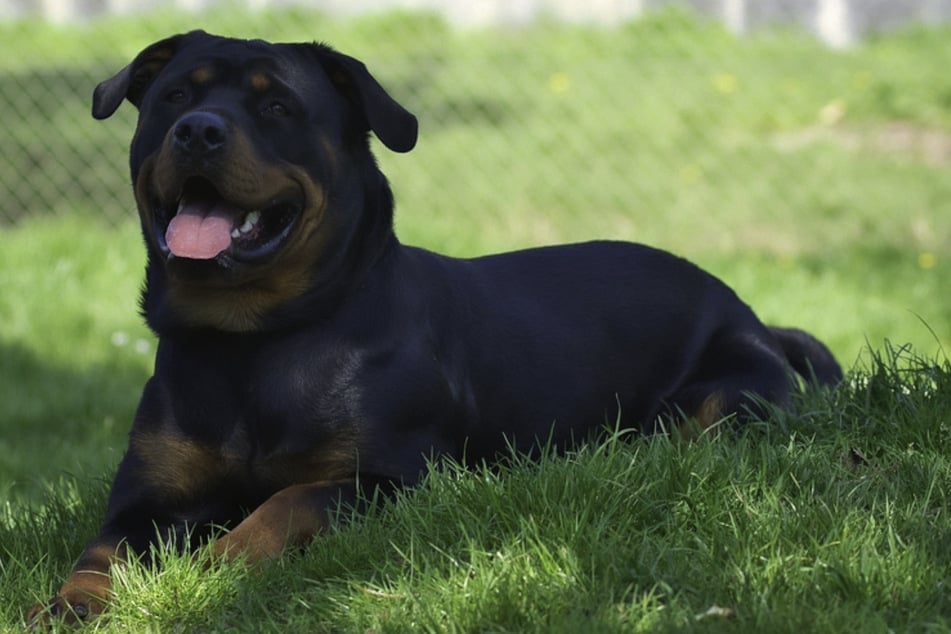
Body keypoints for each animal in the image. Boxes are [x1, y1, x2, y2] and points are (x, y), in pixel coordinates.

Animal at [29, 30, 840, 624]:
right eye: (173, 96)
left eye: (277, 107)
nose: (197, 130)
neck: (254, 344)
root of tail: (754, 316)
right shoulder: (145, 500)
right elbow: (97, 555)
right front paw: (66, 606)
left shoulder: (396, 478)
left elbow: (289, 502)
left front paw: (215, 567)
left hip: (724, 397)